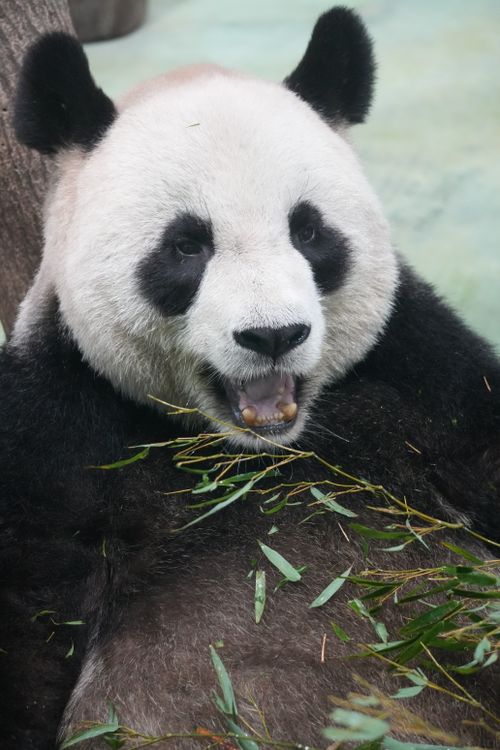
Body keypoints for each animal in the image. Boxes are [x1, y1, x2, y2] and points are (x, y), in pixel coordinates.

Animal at [1, 6, 499, 750]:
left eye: (309, 231)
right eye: (187, 245)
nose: (274, 335)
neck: (252, 453)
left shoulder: (421, 376)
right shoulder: (59, 435)